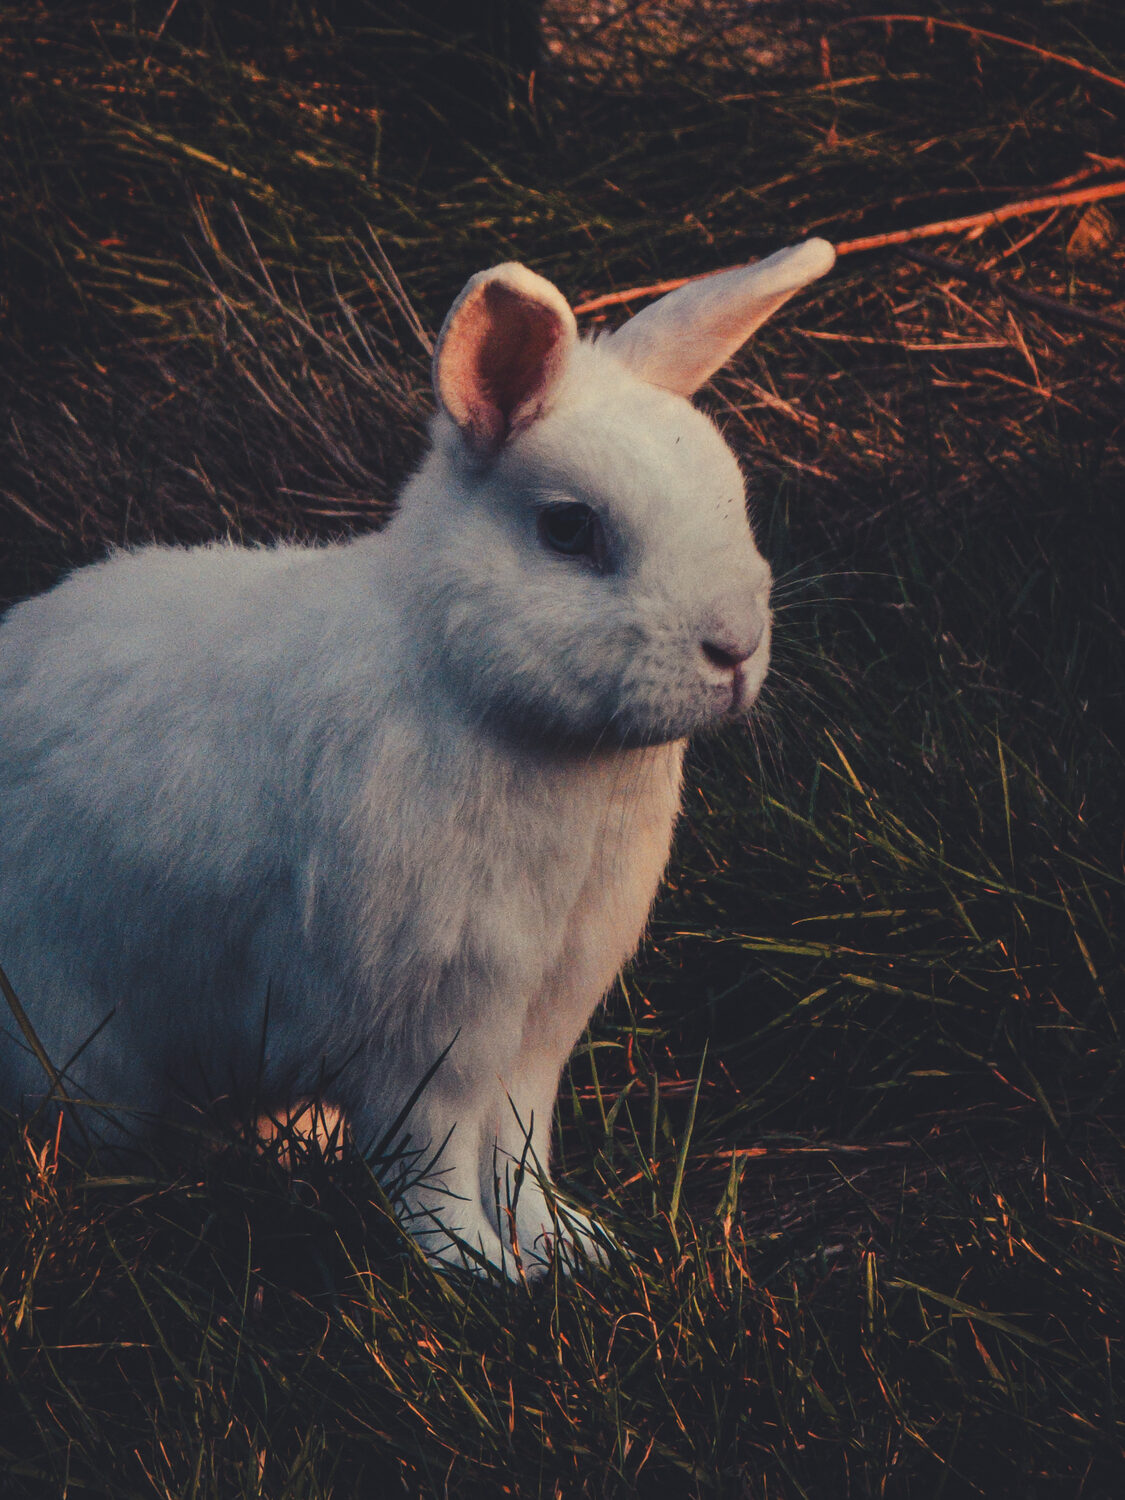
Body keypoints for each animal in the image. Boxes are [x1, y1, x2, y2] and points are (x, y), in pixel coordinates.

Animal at [0, 237, 835, 1275]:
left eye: (732, 501)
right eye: (569, 529)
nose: (734, 647)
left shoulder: (536, 1025)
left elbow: (521, 1142)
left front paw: (567, 1250)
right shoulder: (423, 1027)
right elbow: (433, 1155)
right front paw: (472, 1267)